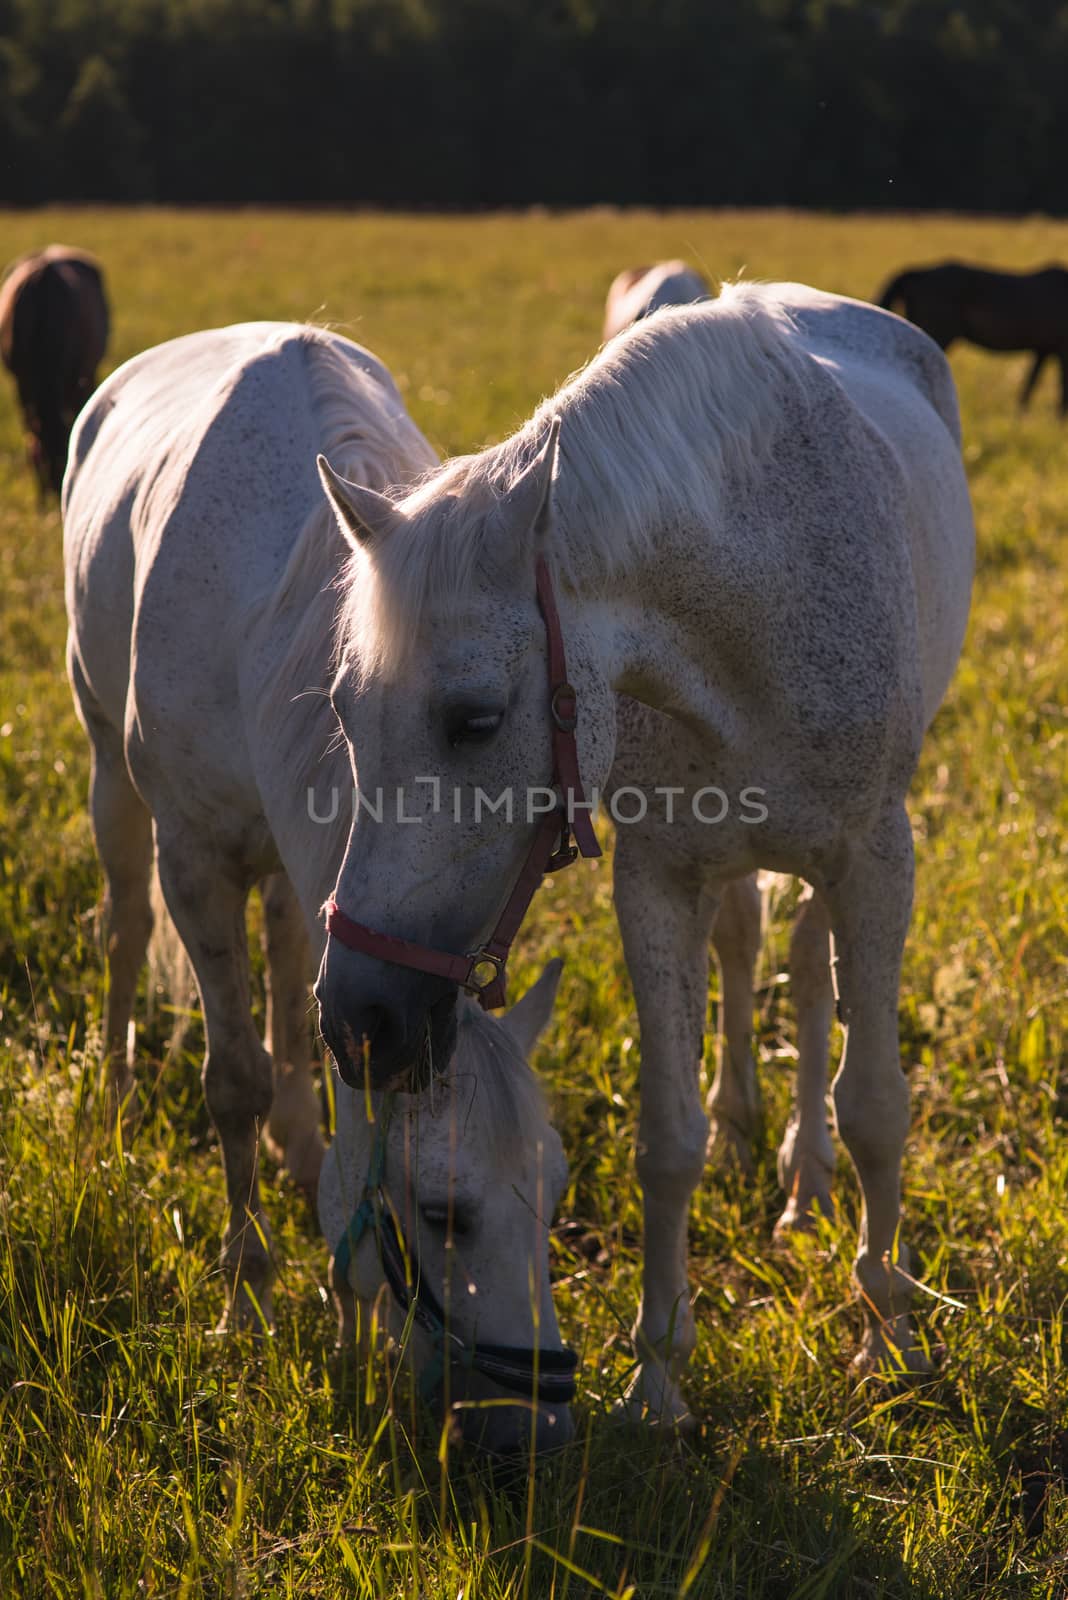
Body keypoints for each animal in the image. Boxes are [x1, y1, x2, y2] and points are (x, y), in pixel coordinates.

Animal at [60, 328, 575, 1465]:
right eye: (445, 1212)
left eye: (557, 1190)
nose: (532, 1426)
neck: (265, 639)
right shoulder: (196, 860)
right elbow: (233, 1083)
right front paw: (246, 1301)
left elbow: (311, 1061)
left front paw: (346, 1321)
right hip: (110, 777)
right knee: (123, 928)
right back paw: (116, 1085)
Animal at [313, 278, 972, 1427]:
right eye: (347, 713)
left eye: (475, 720)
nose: (359, 1017)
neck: (758, 597)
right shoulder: (658, 876)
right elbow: (667, 1139)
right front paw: (658, 1372)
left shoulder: (875, 860)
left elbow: (877, 1109)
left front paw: (887, 1332)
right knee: (754, 952)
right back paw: (759, 1136)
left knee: (810, 978)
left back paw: (808, 1186)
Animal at [876, 262, 1068, 416]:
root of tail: (918, 273)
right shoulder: (1060, 348)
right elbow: (1060, 384)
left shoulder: (1043, 349)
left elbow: (1030, 384)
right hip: (938, 334)